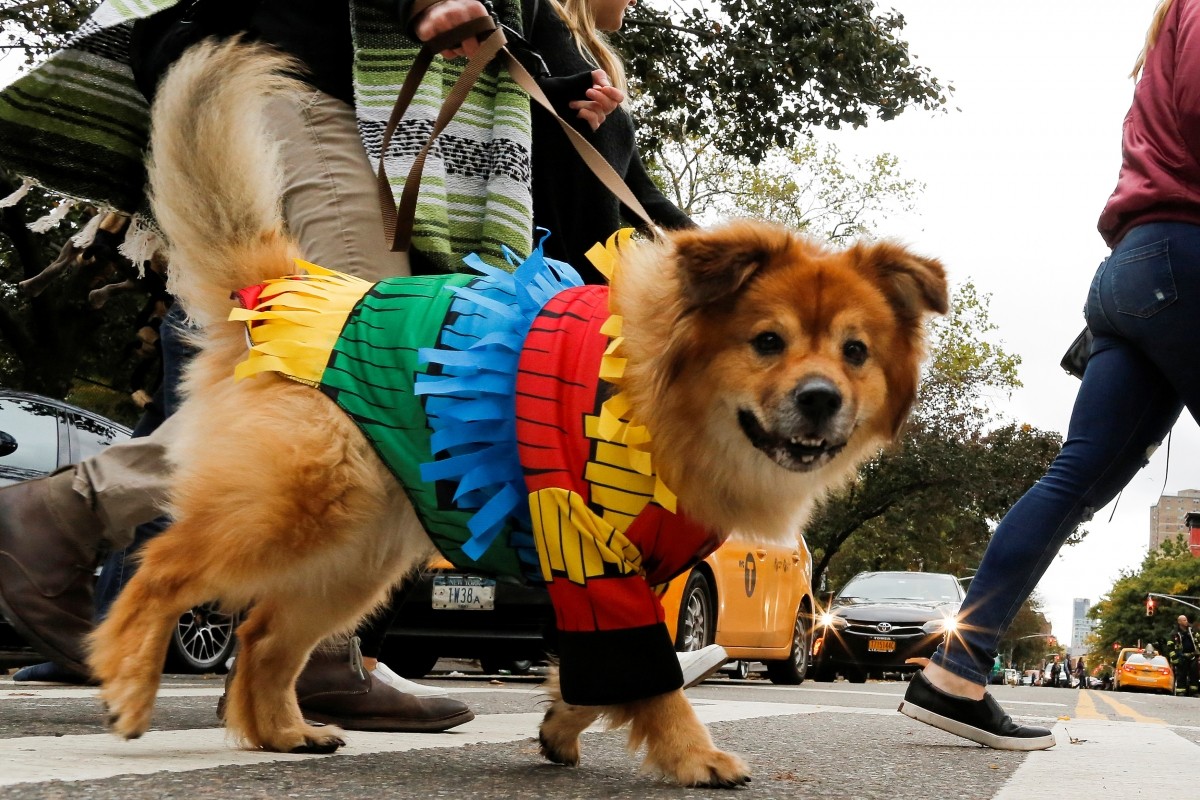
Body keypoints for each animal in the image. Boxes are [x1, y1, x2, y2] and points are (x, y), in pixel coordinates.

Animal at [84, 40, 945, 786]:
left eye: (855, 352)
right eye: (767, 342)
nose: (820, 398)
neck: (668, 395)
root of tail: (288, 289)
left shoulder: (623, 574)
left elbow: (603, 674)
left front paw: (562, 728)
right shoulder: (590, 550)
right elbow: (653, 677)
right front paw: (693, 756)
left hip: (359, 551)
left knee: (265, 636)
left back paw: (283, 732)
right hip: (293, 505)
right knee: (162, 569)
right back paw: (128, 685)